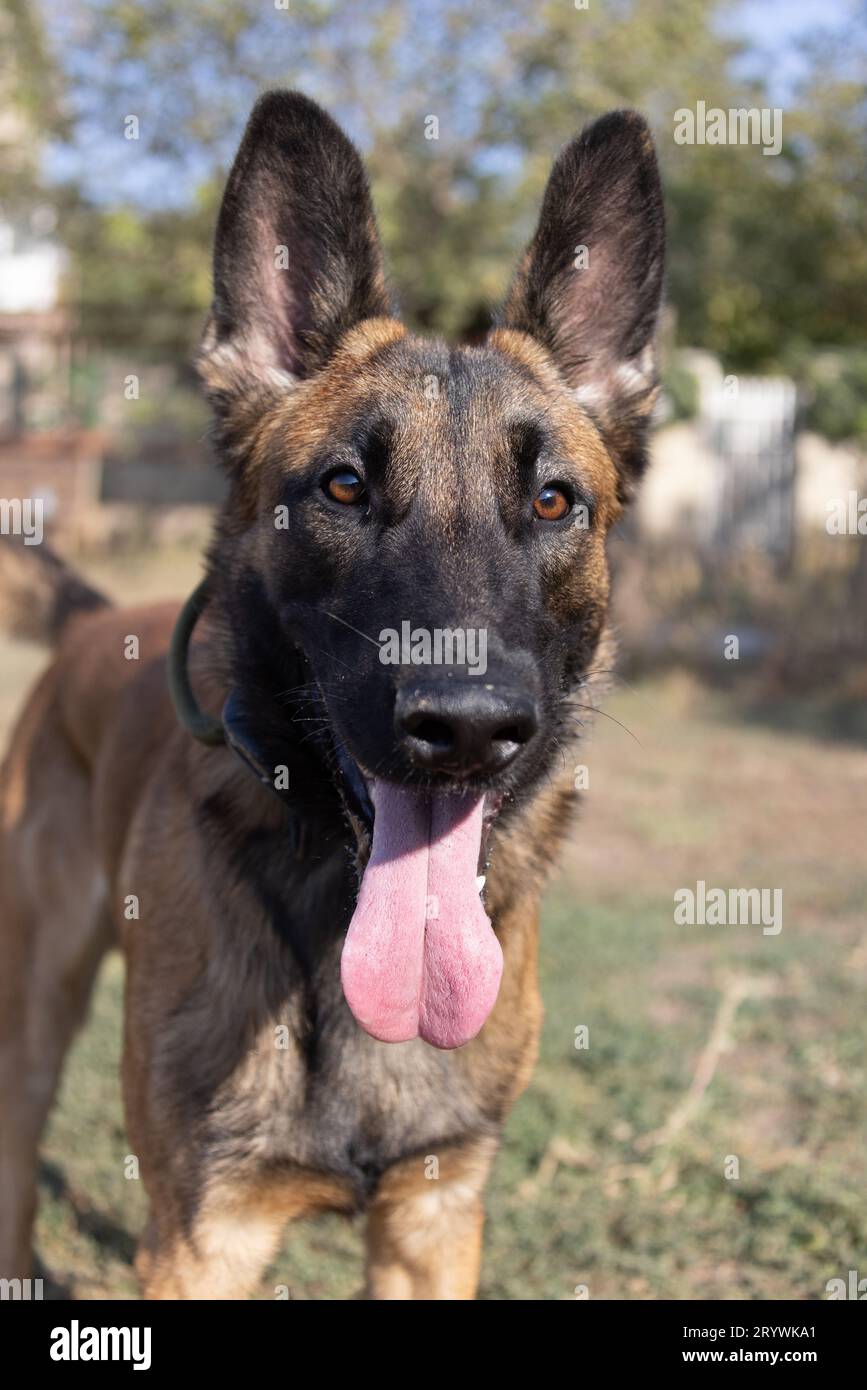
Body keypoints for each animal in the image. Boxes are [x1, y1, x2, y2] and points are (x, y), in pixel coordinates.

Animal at [0, 92, 664, 1295]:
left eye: (552, 502)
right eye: (345, 488)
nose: (467, 727)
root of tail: (86, 622)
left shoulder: (433, 1223)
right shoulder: (202, 1239)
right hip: (35, 1005)